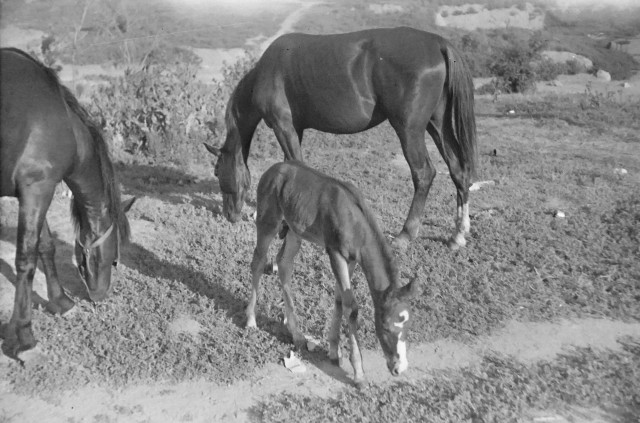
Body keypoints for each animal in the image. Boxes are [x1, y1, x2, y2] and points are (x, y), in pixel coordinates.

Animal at [0, 47, 135, 358]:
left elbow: (46, 246)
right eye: (115, 260)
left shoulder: (39, 189)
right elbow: (26, 259)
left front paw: (60, 302)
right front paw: (23, 336)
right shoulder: (36, 190)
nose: (100, 296)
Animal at [205, 26, 476, 250]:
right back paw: (458, 235)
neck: (267, 72)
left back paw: (405, 235)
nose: (228, 215)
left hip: (409, 129)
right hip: (436, 124)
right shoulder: (294, 129)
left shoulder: (283, 126)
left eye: (217, 172)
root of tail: (437, 43)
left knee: (424, 173)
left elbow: (295, 165)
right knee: (457, 169)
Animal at [246, 161, 420, 390]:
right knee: (258, 261)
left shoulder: (351, 259)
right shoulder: (335, 252)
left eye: (408, 325)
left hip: (294, 230)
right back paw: (250, 319)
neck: (356, 222)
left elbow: (339, 299)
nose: (399, 368)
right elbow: (351, 307)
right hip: (269, 220)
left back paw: (297, 334)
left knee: (284, 265)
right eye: (385, 327)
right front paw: (359, 374)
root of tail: (271, 170)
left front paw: (333, 351)